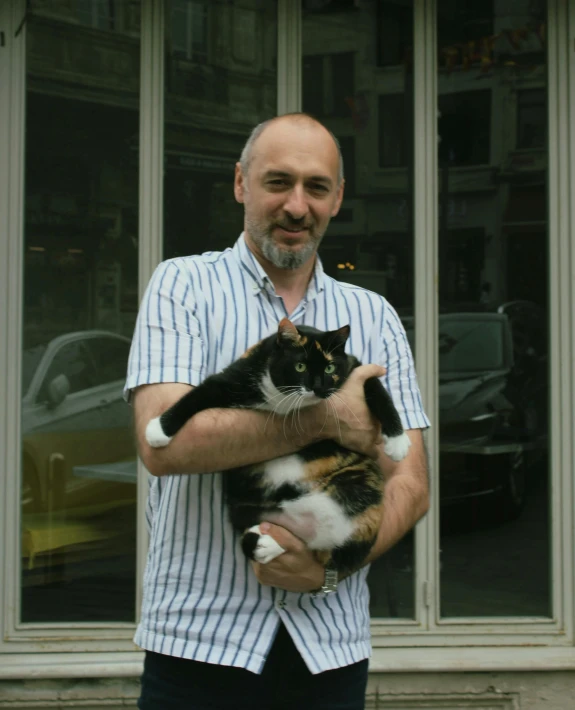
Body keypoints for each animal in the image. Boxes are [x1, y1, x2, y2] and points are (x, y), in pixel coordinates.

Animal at [146, 320, 412, 580]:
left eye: (329, 368)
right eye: (300, 366)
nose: (317, 388)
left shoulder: (355, 367)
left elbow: (379, 391)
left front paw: (397, 441)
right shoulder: (234, 377)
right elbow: (197, 394)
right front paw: (158, 430)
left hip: (359, 483)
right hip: (243, 507)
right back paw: (266, 544)